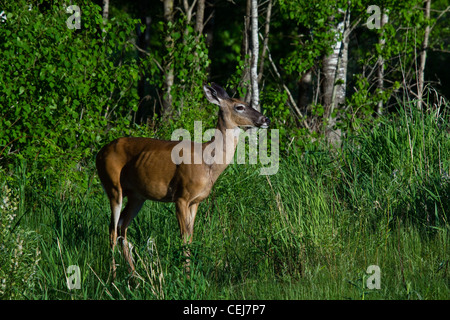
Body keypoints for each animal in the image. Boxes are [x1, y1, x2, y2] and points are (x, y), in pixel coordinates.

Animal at [96, 83, 268, 278]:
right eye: (239, 106)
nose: (265, 119)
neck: (207, 163)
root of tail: (99, 154)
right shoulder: (181, 196)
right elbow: (183, 237)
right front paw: (185, 275)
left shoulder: (196, 201)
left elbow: (190, 236)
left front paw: (189, 271)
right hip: (112, 185)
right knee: (112, 229)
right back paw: (113, 276)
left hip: (137, 196)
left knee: (122, 226)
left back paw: (134, 275)